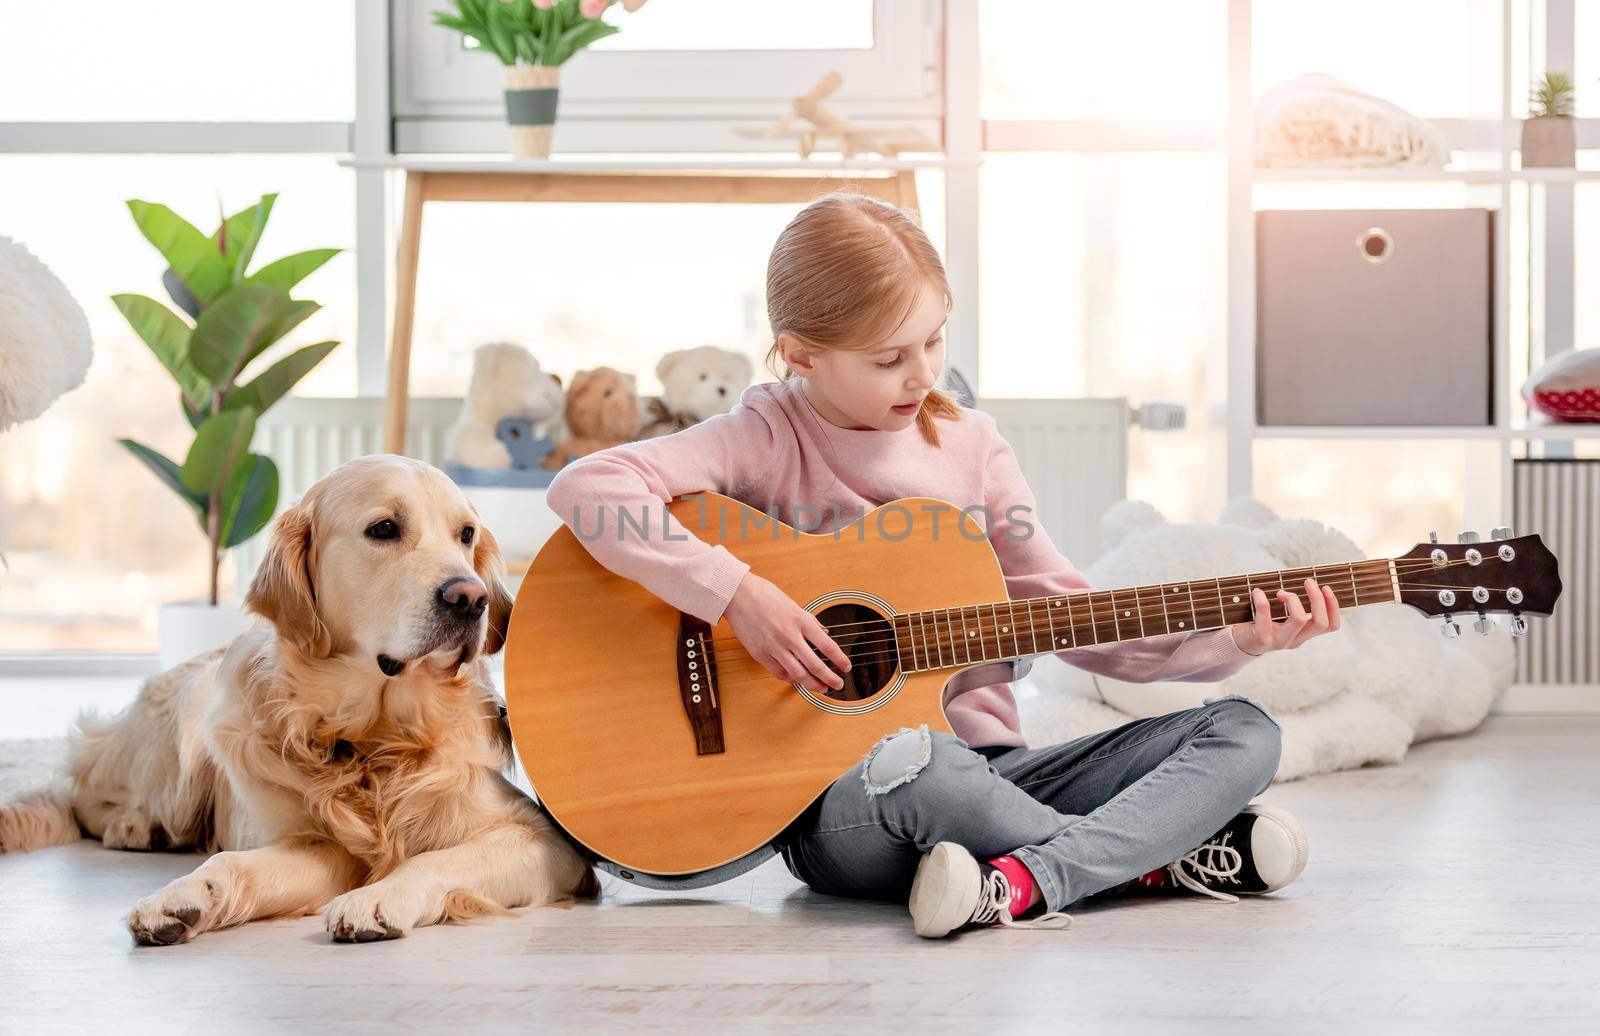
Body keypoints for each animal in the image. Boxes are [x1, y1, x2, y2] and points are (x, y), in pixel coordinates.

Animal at [0, 457, 601, 940]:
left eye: (466, 535)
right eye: (384, 528)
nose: (471, 598)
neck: (372, 738)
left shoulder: (545, 843)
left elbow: (435, 859)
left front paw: (378, 897)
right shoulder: (314, 839)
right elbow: (228, 862)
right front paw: (175, 898)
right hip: (186, 732)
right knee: (79, 791)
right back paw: (134, 826)